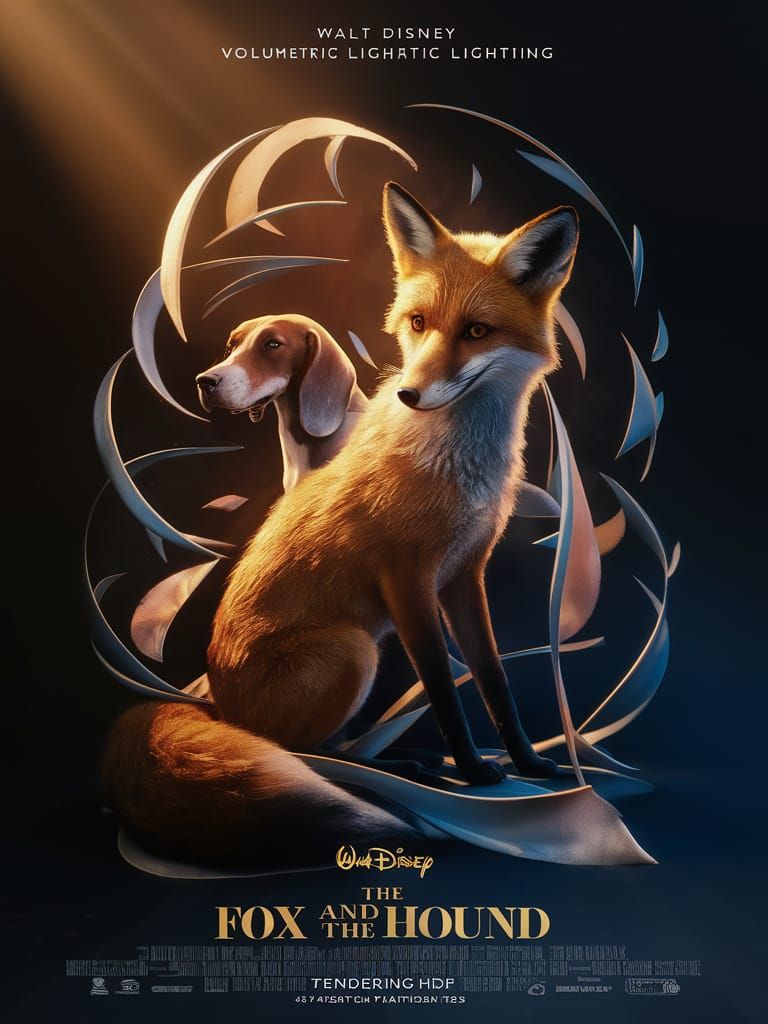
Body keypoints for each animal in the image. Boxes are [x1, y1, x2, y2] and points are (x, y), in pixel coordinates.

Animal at [102, 182, 579, 864]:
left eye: (477, 331)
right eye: (417, 323)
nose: (409, 394)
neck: (458, 469)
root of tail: (218, 703)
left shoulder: (465, 575)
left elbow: (494, 681)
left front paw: (527, 764)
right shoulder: (407, 578)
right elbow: (443, 686)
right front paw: (473, 771)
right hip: (355, 649)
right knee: (296, 750)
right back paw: (378, 769)